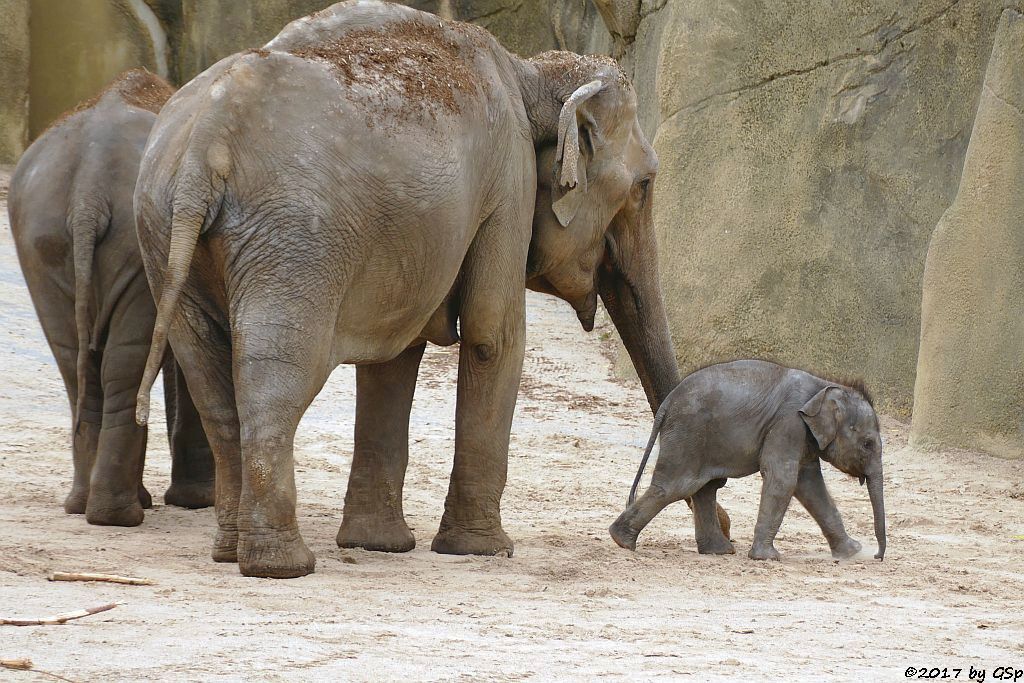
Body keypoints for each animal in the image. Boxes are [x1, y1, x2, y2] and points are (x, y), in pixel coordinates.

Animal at [6, 69, 216, 528]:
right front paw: (196, 501)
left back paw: (89, 507)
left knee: (78, 363)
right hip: (120, 240)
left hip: (44, 240)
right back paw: (119, 515)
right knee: (119, 364)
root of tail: (88, 189)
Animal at [134, 0, 696, 581]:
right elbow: (493, 336)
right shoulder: (507, 182)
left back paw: (231, 551)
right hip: (292, 238)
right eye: (645, 185)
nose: (711, 532)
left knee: (211, 383)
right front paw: (484, 550)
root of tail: (206, 144)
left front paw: (379, 545)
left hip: (164, 229)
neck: (530, 73)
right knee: (276, 376)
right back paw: (281, 565)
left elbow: (394, 356)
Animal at [610, 358, 884, 561]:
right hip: (688, 433)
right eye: (868, 444)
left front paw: (852, 552)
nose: (877, 556)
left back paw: (718, 551)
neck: (825, 384)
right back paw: (622, 540)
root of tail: (667, 403)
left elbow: (810, 486)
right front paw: (767, 558)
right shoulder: (788, 424)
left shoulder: (804, 437)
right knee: (676, 486)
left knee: (704, 486)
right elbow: (783, 478)